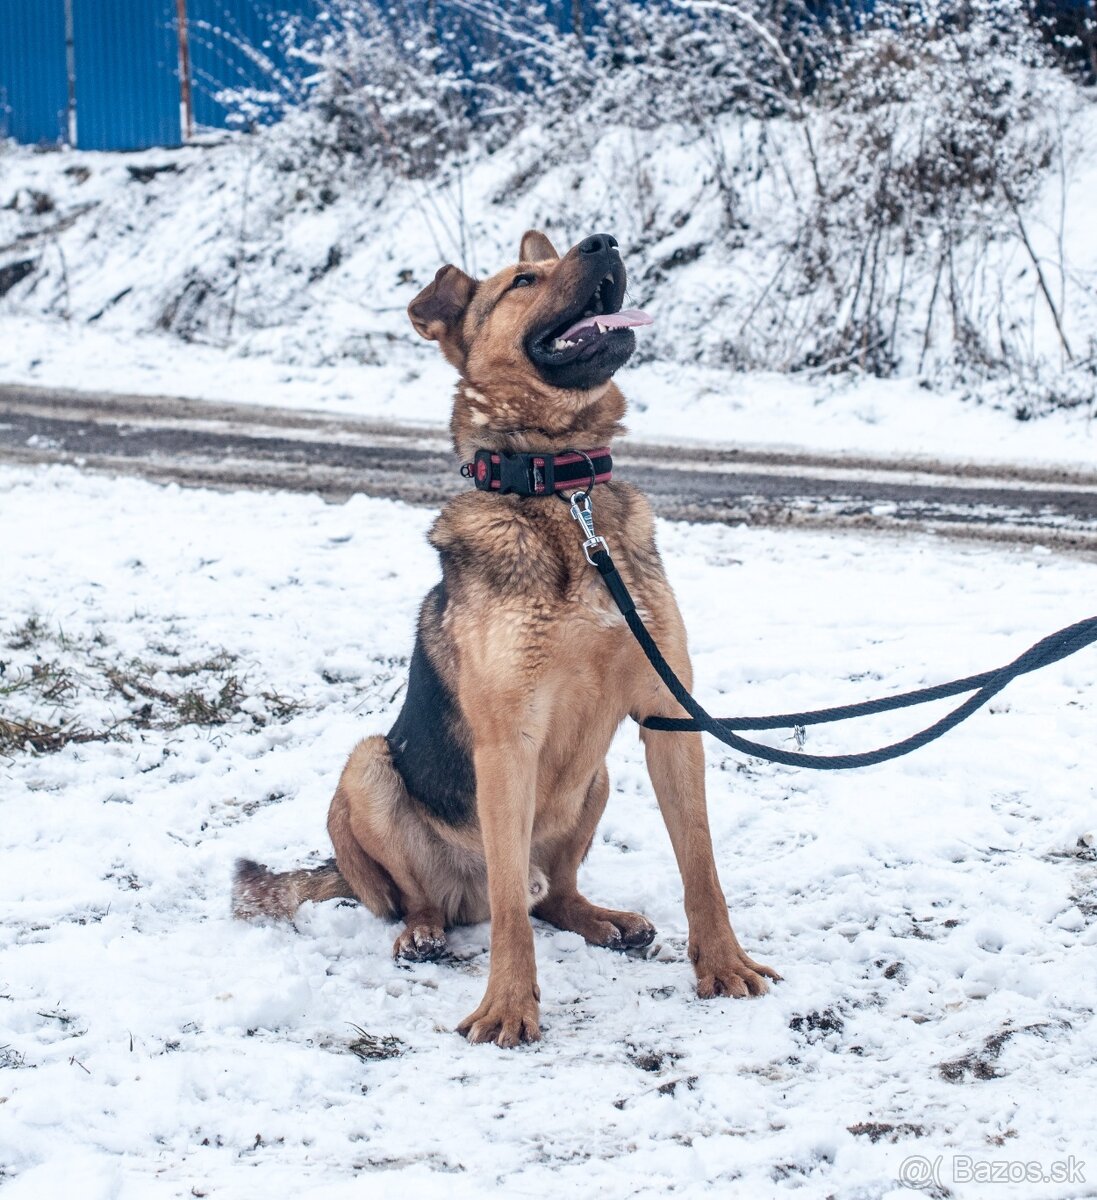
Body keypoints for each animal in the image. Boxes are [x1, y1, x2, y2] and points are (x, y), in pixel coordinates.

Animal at [232, 229, 777, 1046]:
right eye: (523, 280)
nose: (605, 239)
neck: (562, 491)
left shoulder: (668, 719)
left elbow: (700, 863)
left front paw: (722, 963)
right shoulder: (507, 739)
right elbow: (512, 917)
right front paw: (508, 1006)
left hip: (593, 779)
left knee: (550, 893)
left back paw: (601, 918)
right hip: (367, 769)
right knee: (455, 898)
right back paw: (424, 932)